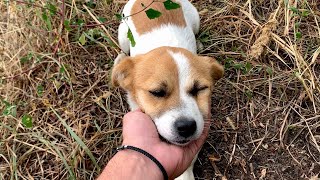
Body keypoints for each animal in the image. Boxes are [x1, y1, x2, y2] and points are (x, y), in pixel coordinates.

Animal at [111, 0, 224, 179]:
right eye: (157, 92)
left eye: (199, 88)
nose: (186, 127)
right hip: (122, 32)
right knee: (123, 47)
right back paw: (121, 57)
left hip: (195, 19)